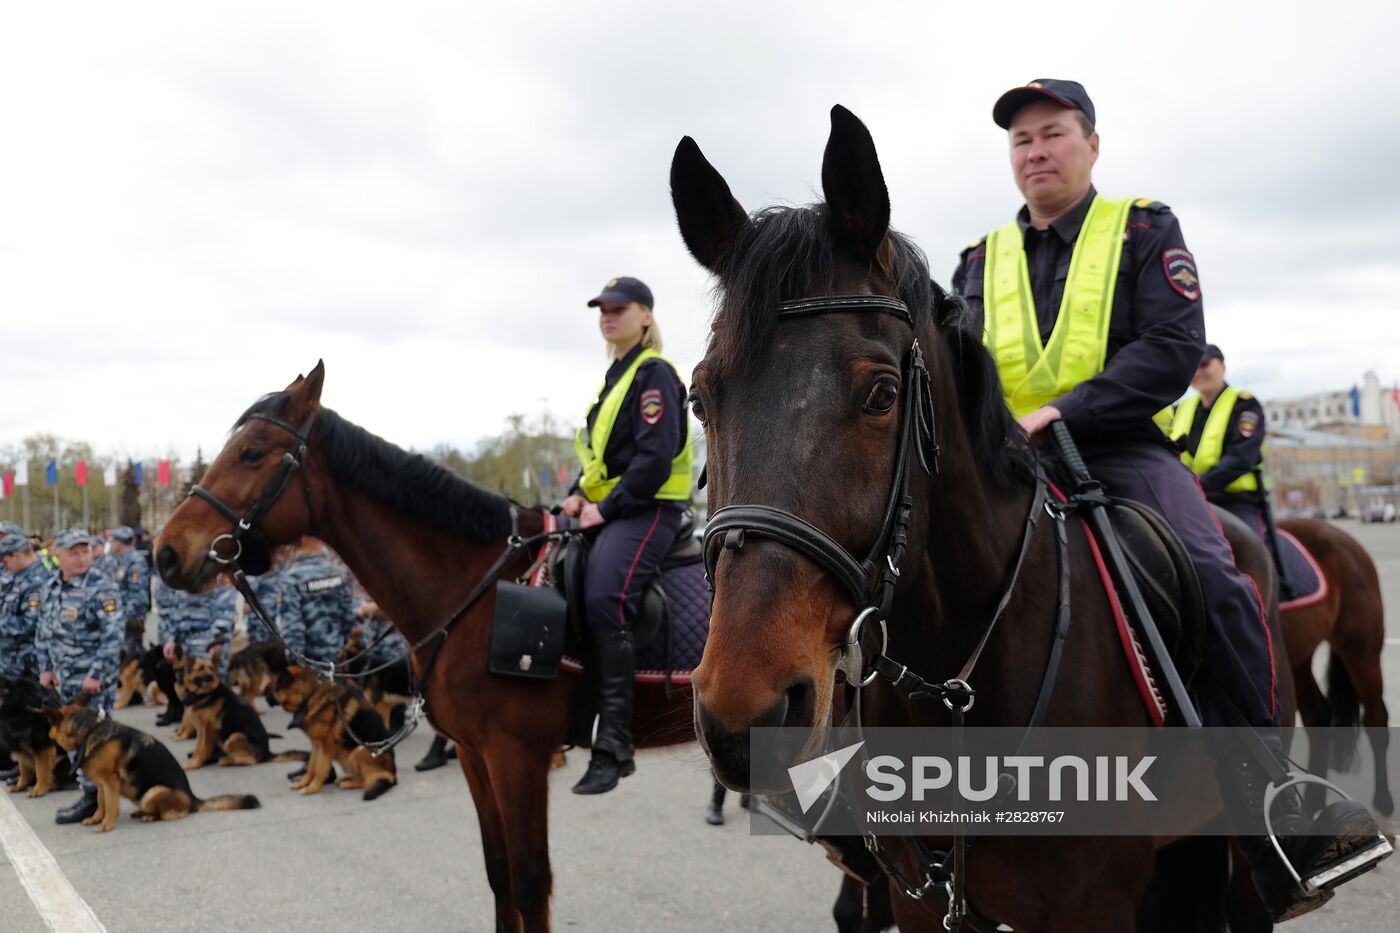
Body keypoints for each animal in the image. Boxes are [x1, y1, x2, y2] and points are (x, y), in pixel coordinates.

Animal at [46, 694, 261, 829]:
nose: (46, 735)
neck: (90, 729)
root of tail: (193, 799)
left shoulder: (110, 782)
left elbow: (111, 806)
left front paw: (106, 825)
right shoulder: (102, 784)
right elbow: (101, 803)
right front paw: (95, 818)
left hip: (153, 792)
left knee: (170, 814)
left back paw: (149, 816)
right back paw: (140, 813)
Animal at [180, 650, 309, 767]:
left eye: (211, 668)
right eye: (200, 669)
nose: (211, 677)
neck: (204, 694)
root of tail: (267, 754)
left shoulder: (207, 730)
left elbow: (201, 749)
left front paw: (193, 764)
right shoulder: (201, 731)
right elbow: (198, 747)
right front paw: (195, 761)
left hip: (234, 736)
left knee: (252, 760)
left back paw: (226, 760)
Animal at [270, 661, 397, 801]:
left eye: (273, 688)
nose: (266, 698)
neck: (310, 695)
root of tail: (393, 774)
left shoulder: (327, 744)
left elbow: (320, 768)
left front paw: (312, 788)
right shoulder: (316, 744)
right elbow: (312, 766)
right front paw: (303, 783)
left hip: (360, 751)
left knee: (371, 779)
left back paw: (349, 783)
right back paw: (346, 779)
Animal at [666, 107, 1288, 930]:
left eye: (882, 393)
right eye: (702, 397)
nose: (745, 709)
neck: (955, 685)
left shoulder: (1091, 907)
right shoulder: (923, 898)